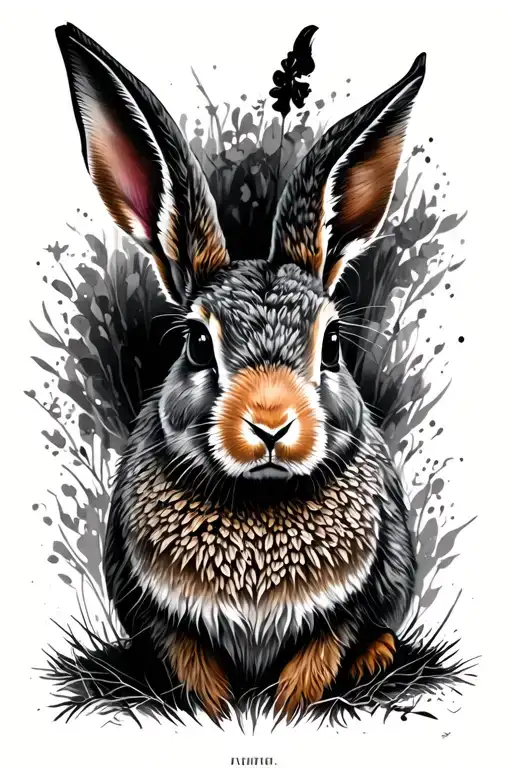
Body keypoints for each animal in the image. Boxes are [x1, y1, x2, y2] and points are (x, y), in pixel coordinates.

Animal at [56, 22, 425, 721]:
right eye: (198, 344)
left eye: (332, 344)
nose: (271, 425)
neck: (260, 495)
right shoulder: (162, 617)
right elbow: (192, 666)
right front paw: (220, 714)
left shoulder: (346, 608)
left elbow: (319, 657)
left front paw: (285, 711)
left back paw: (377, 656)